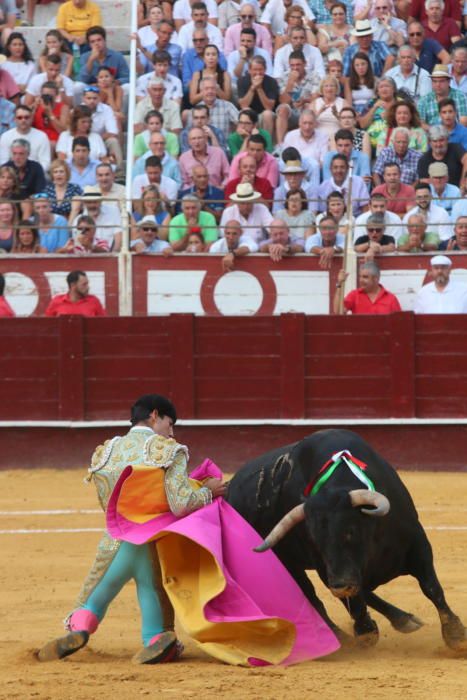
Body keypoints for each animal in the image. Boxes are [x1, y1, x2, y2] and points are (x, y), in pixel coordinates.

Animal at [225, 430, 466, 652]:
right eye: (315, 540)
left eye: (350, 531)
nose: (340, 585)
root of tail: (230, 489)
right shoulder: (326, 568)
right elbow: (354, 599)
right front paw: (365, 632)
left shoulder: (418, 543)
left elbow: (431, 587)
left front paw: (456, 636)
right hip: (289, 564)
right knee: (313, 598)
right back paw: (342, 639)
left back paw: (401, 620)